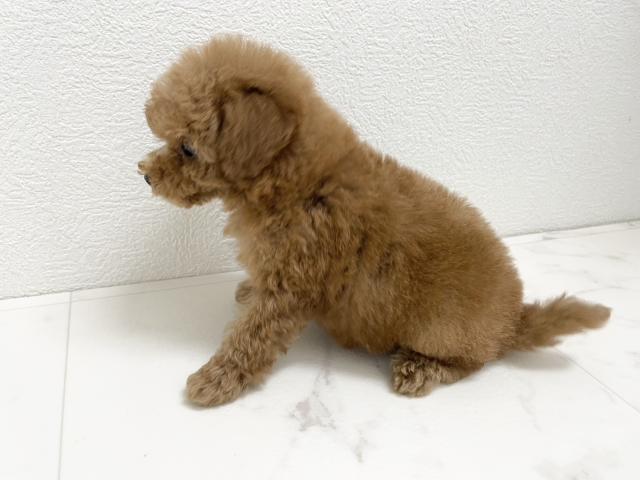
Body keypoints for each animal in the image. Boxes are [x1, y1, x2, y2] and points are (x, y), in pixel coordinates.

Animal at [138, 35, 610, 407]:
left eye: (187, 148)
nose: (143, 173)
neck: (302, 182)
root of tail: (514, 321)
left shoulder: (292, 288)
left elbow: (251, 338)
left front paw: (216, 380)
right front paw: (246, 291)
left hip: (442, 333)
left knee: (473, 362)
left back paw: (419, 369)